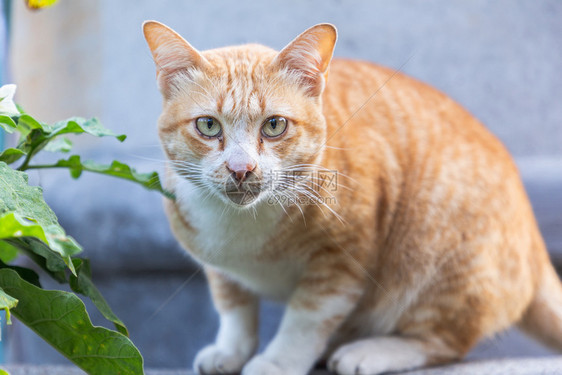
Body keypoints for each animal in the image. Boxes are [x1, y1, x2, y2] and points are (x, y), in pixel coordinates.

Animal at [141, 21, 560, 375]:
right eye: (208, 125)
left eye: (274, 126)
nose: (241, 169)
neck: (242, 229)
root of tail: (535, 242)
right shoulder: (219, 268)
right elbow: (233, 306)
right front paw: (231, 350)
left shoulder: (342, 260)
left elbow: (304, 319)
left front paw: (277, 362)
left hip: (442, 265)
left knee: (444, 341)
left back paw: (369, 351)